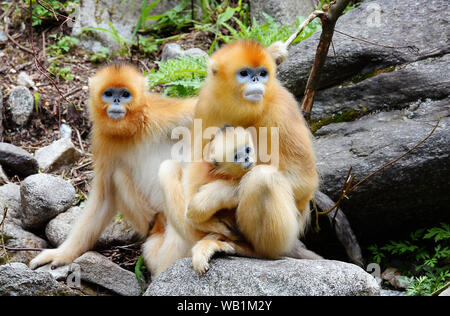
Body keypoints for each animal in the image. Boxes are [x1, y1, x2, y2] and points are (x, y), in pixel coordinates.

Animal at [29, 64, 195, 270]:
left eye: (125, 94)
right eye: (108, 94)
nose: (116, 101)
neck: (134, 130)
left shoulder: (162, 114)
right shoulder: (102, 140)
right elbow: (104, 197)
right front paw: (62, 253)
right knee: (118, 176)